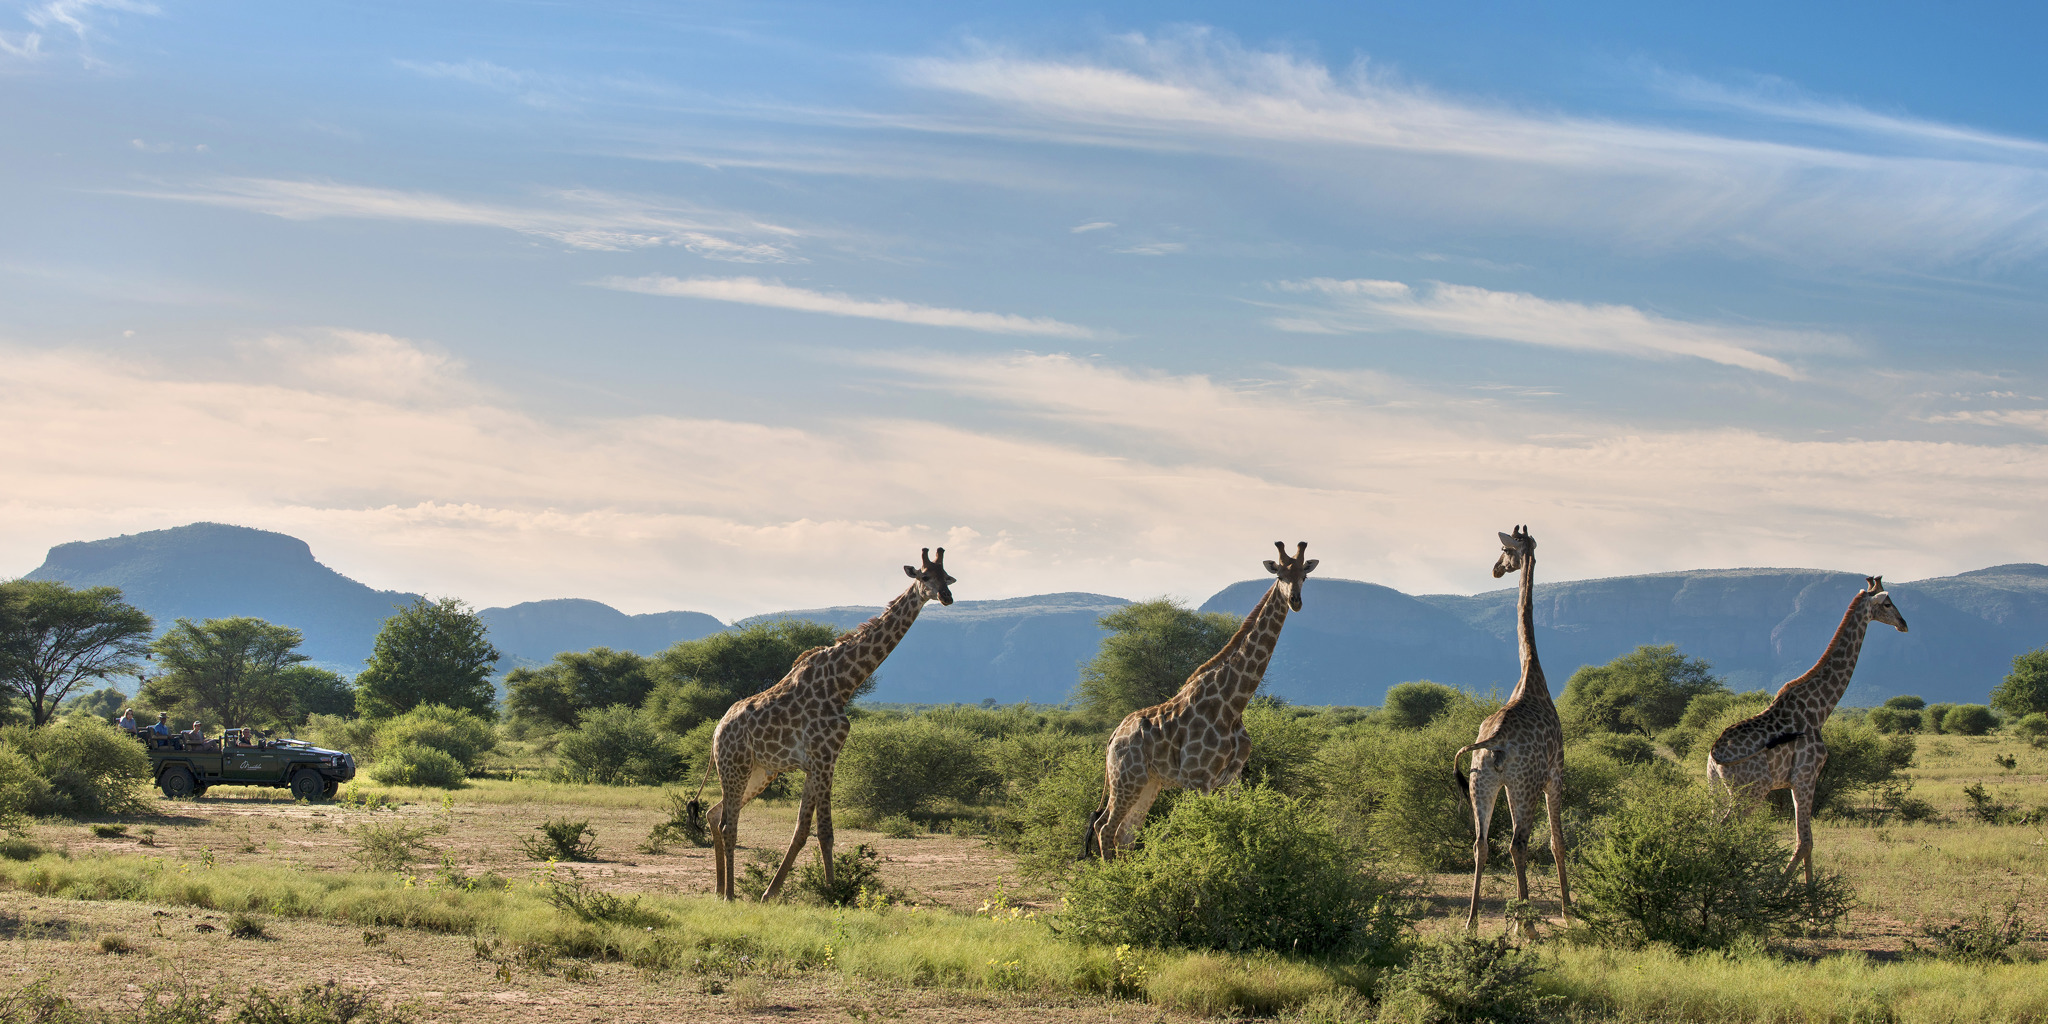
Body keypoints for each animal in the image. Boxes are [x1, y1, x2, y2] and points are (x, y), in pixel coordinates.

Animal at [704, 548, 958, 901]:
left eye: (946, 576)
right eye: (924, 577)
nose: (947, 596)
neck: (842, 683)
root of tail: (717, 733)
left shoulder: (817, 763)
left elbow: (802, 830)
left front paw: (771, 893)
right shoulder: (825, 759)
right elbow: (825, 831)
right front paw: (834, 894)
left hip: (759, 772)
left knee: (714, 814)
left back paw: (718, 889)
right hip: (735, 767)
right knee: (729, 823)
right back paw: (729, 894)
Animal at [1081, 540, 1318, 860]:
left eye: (1304, 576)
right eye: (1280, 575)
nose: (1295, 601)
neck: (1233, 703)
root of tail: (1114, 735)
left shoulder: (1231, 780)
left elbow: (1232, 828)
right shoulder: (1197, 780)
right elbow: (1194, 834)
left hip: (1149, 782)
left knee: (1125, 833)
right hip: (1126, 777)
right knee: (1105, 827)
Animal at [1449, 528, 1572, 937]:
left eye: (1505, 550)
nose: (1496, 569)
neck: (1530, 673)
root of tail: (1493, 742)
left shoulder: (1506, 784)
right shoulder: (1555, 774)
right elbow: (1557, 842)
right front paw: (1570, 911)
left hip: (1482, 782)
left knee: (1480, 843)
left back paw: (1471, 922)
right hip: (1525, 784)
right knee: (1519, 844)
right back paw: (1528, 927)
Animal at [1712, 581, 1900, 884]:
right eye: (1887, 604)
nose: (1903, 624)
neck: (1820, 709)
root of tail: (1713, 754)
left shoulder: (1795, 781)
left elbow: (1807, 842)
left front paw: (1808, 895)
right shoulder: (1806, 776)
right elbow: (1805, 842)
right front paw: (1782, 890)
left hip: (1716, 788)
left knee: (1711, 825)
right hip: (1749, 792)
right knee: (1724, 828)